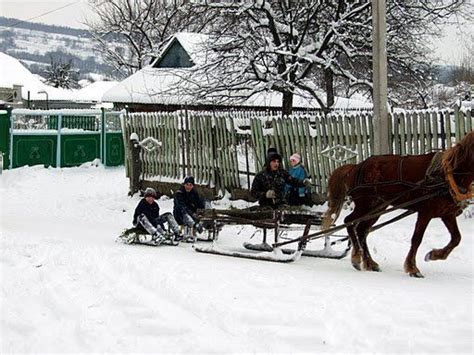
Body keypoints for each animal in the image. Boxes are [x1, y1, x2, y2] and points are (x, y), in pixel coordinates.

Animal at [320, 131, 472, 278]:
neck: (447, 174)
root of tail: (355, 167)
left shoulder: (447, 214)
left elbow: (456, 238)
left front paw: (434, 255)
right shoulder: (425, 212)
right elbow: (417, 239)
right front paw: (412, 268)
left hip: (377, 208)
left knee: (362, 230)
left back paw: (369, 263)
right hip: (366, 205)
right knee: (350, 221)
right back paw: (357, 257)